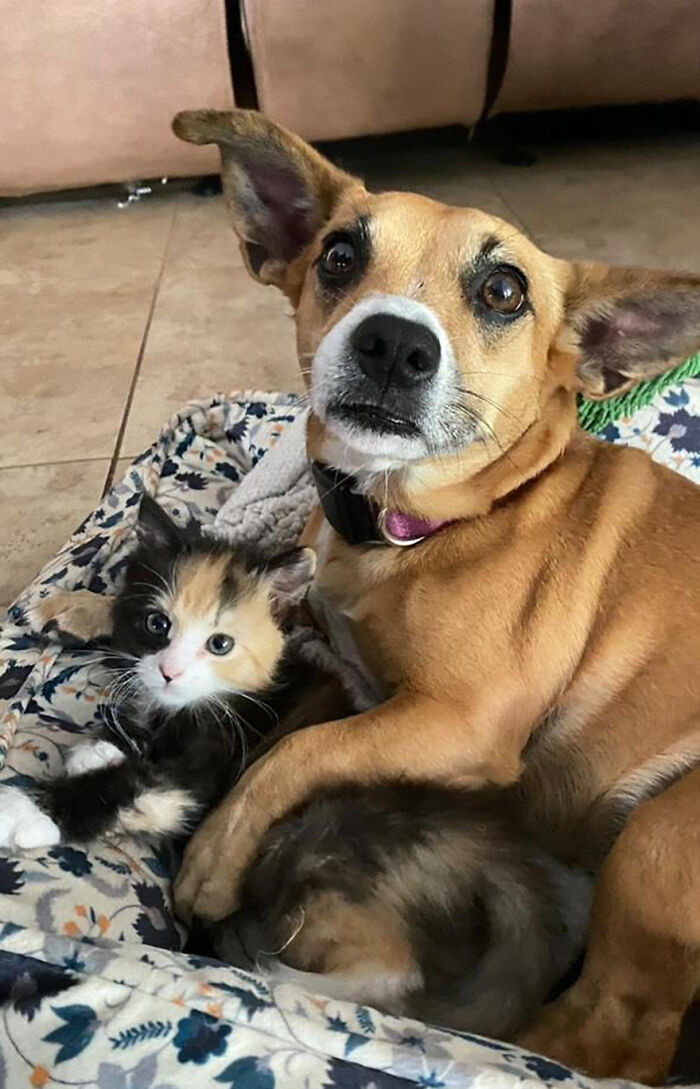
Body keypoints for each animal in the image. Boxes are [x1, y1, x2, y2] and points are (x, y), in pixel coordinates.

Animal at [0, 496, 315, 849]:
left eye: (220, 644)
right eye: (157, 624)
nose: (169, 672)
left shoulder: (208, 762)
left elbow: (135, 786)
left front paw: (20, 812)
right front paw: (103, 749)